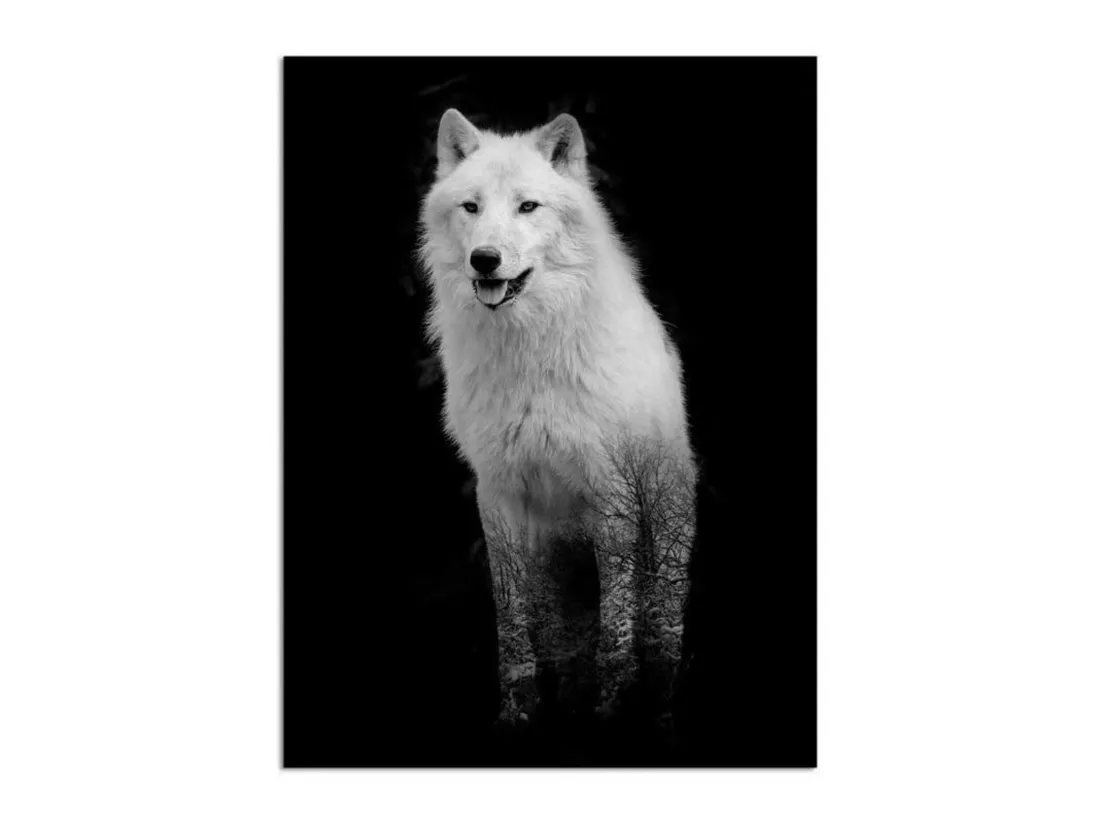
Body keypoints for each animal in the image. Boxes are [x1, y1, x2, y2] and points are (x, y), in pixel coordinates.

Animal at [419, 108, 696, 723]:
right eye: (471, 207)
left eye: (528, 206)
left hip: (665, 542)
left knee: (659, 635)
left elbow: (618, 627)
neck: (530, 347)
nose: (485, 259)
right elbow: (513, 629)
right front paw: (517, 714)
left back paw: (658, 706)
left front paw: (612, 710)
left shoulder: (612, 491)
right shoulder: (496, 495)